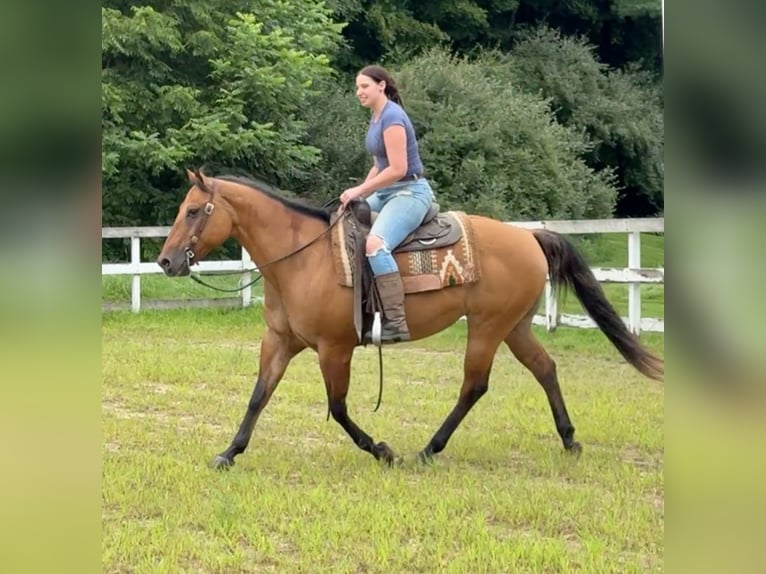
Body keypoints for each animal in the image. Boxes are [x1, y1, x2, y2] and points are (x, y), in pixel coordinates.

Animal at [158, 169, 664, 470]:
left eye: (192, 210)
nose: (165, 261)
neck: (302, 258)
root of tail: (530, 237)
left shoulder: (335, 348)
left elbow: (338, 408)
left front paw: (382, 450)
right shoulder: (280, 342)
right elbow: (258, 397)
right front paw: (228, 453)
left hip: (486, 327)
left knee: (474, 386)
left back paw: (428, 449)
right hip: (514, 326)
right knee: (545, 369)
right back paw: (569, 440)